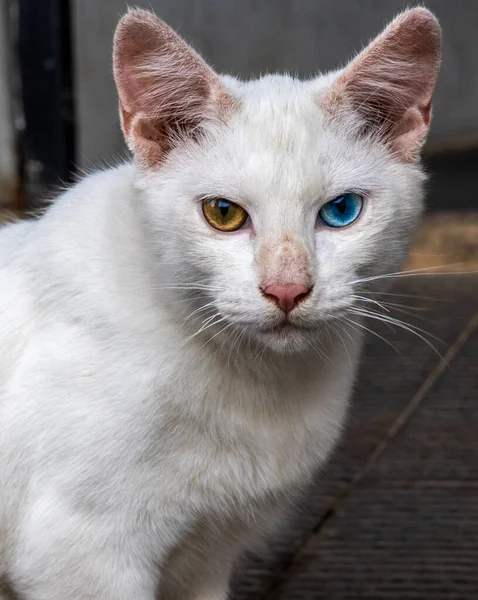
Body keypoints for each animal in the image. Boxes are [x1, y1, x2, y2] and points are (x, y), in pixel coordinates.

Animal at [0, 5, 440, 600]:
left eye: (342, 211)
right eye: (223, 213)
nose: (286, 289)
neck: (257, 385)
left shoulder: (206, 561)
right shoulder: (82, 555)